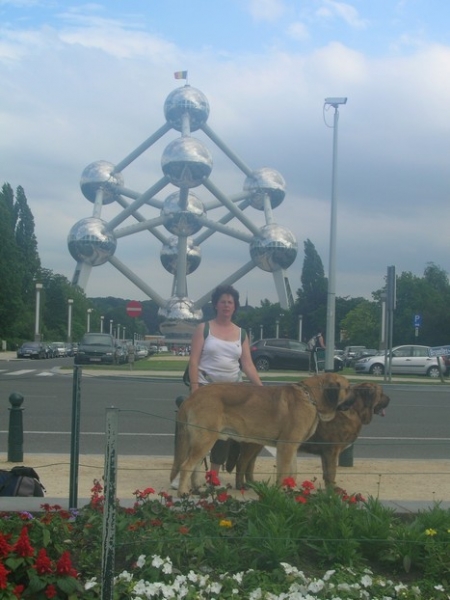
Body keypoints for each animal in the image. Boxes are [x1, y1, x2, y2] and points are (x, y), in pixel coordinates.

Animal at [171, 372, 354, 494]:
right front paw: (281, 493)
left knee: (195, 466)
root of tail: (192, 397)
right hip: (205, 439)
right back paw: (183, 492)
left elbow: (293, 472)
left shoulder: (292, 447)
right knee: (186, 465)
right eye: (348, 388)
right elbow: (284, 472)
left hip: (204, 441)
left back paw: (196, 488)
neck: (311, 397)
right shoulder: (285, 447)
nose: (353, 401)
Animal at [227, 384, 388, 488]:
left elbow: (326, 472)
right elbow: (331, 473)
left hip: (257, 443)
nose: (390, 399)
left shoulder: (326, 453)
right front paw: (333, 491)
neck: (353, 409)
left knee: (250, 463)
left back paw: (252, 483)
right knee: (242, 462)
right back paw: (240, 486)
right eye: (381, 394)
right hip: (252, 444)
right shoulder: (331, 450)